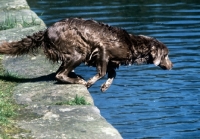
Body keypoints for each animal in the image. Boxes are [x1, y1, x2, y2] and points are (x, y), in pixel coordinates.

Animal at [0, 17, 172, 91]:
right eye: (166, 55)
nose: (172, 65)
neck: (131, 44)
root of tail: (46, 31)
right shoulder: (102, 51)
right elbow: (101, 72)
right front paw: (90, 83)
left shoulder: (111, 62)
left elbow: (112, 74)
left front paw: (105, 86)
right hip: (78, 54)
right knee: (59, 75)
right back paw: (79, 81)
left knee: (60, 72)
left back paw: (76, 76)